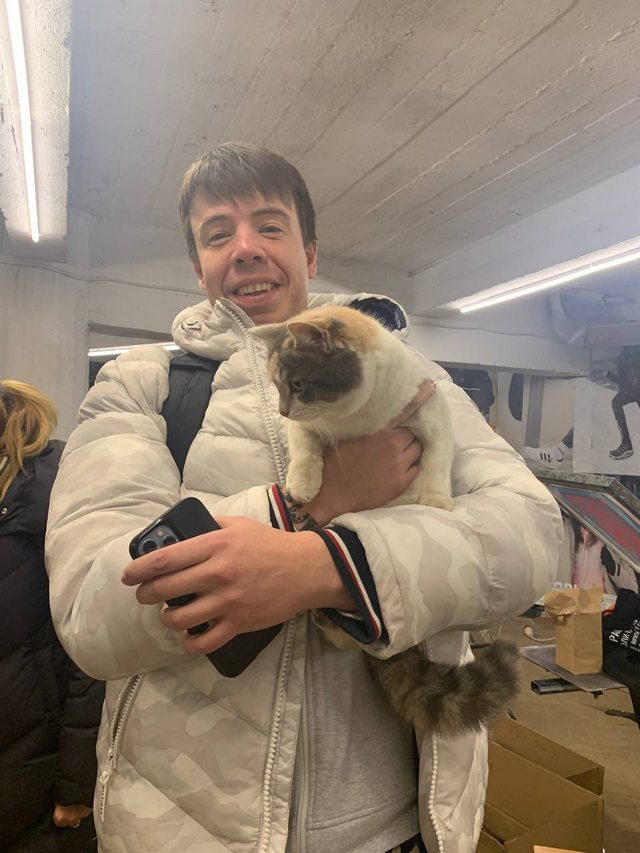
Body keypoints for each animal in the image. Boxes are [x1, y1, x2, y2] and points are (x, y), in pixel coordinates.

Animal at [252, 305, 519, 738]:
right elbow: (306, 445)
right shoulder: (307, 427)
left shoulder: (434, 416)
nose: (281, 410)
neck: (353, 418)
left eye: (297, 383)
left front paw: (437, 500)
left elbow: (437, 460)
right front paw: (302, 483)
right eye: (276, 386)